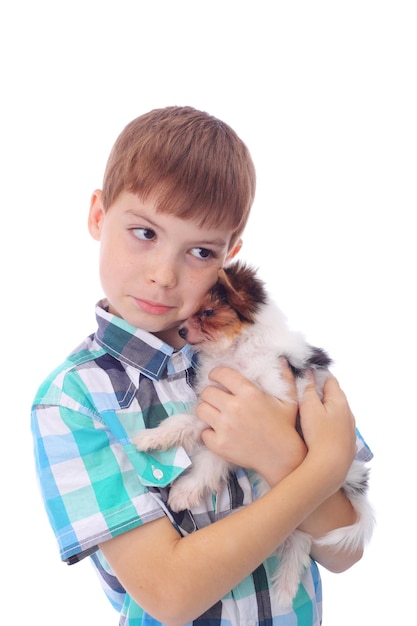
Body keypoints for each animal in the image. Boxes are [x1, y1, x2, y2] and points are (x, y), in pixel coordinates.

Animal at [134, 260, 374, 608]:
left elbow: (212, 458)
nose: (180, 332)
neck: (236, 352)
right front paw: (153, 439)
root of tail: (353, 477)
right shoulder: (213, 406)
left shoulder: (259, 405)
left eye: (208, 312)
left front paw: (184, 490)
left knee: (300, 539)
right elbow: (185, 426)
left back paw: (285, 589)